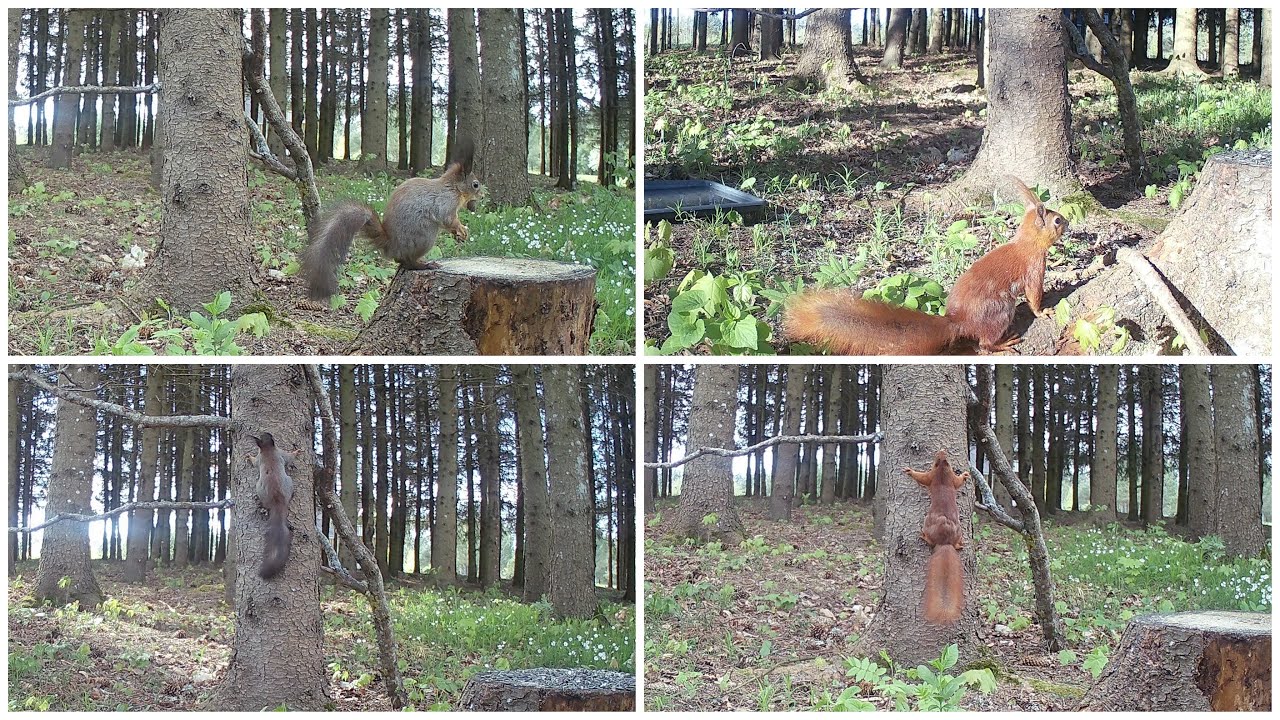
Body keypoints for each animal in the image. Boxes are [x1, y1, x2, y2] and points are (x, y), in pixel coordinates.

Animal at [249, 432, 296, 580]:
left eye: (266, 435)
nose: (268, 433)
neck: (268, 449)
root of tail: (278, 502)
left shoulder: (274, 454)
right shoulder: (280, 453)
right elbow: (290, 457)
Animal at [299, 137, 484, 301]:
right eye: (475, 184)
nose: (482, 196)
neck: (453, 188)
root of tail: (391, 245)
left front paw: (459, 234)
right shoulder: (445, 203)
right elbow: (448, 219)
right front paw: (461, 229)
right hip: (426, 236)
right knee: (407, 262)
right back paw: (424, 265)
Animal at [783, 177, 1069, 354]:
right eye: (1056, 221)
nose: (1067, 222)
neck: (1026, 242)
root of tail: (958, 321)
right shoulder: (1034, 267)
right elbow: (1033, 295)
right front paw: (1043, 311)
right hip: (998, 312)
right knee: (984, 345)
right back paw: (1002, 344)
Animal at [904, 450, 968, 625]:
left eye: (937, 457)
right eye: (942, 455)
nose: (942, 449)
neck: (942, 473)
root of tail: (945, 542)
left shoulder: (931, 476)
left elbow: (921, 477)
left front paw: (910, 471)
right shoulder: (951, 478)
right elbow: (959, 482)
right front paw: (966, 475)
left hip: (927, 523)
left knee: (929, 539)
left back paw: (924, 536)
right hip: (959, 531)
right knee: (957, 542)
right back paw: (960, 544)